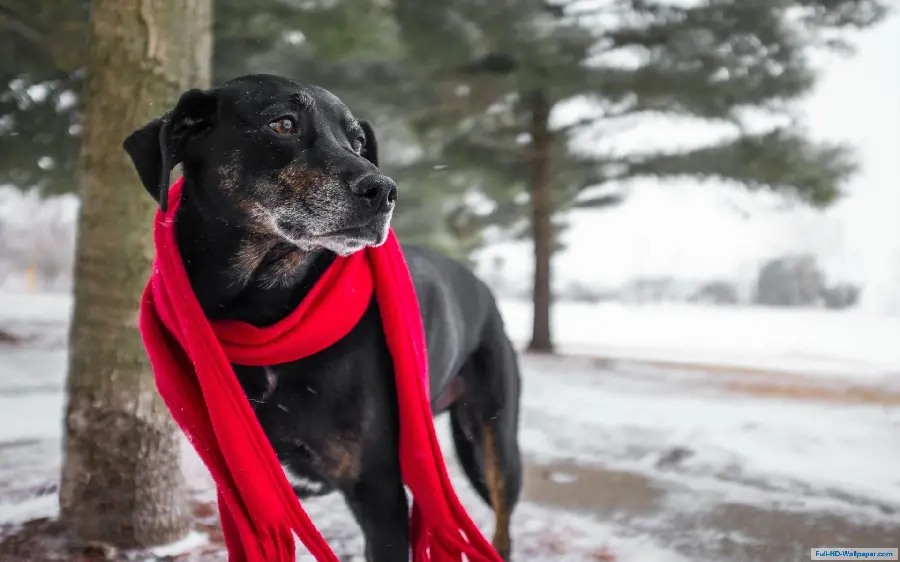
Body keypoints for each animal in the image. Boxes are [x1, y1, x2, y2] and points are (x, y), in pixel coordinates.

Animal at [123, 75, 524, 560]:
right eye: (283, 123)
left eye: (358, 142)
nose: (384, 191)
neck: (264, 313)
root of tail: (481, 285)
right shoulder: (243, 493)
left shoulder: (380, 493)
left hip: (493, 443)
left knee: (502, 525)